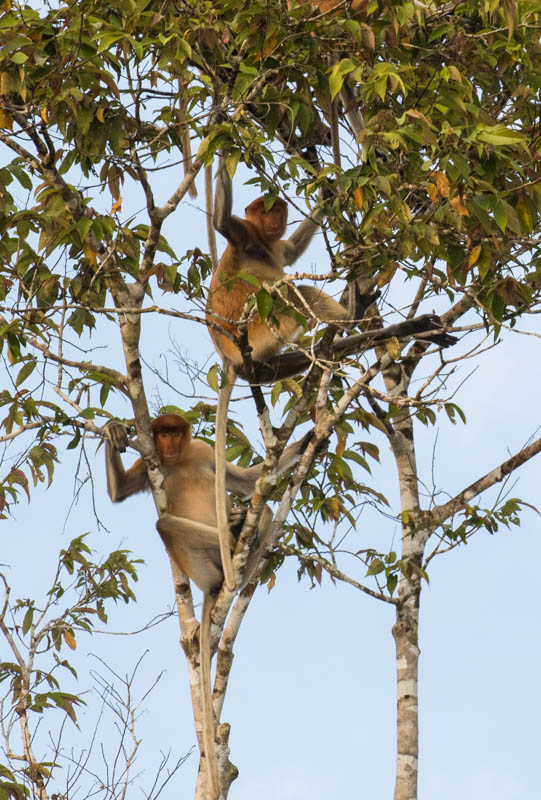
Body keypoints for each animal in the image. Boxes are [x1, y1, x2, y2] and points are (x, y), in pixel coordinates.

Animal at [105, 416, 310, 796]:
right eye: (161, 434)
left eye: (174, 433)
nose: (169, 444)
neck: (180, 460)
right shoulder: (151, 462)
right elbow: (120, 491)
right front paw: (113, 431)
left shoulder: (202, 449)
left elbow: (245, 482)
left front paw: (308, 440)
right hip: (201, 563)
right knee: (165, 524)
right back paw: (228, 544)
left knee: (263, 508)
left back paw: (240, 534)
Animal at [205, 158, 356, 592]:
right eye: (263, 209)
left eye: (277, 210)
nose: (274, 218)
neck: (261, 240)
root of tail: (229, 355)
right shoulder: (243, 235)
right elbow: (222, 221)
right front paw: (218, 142)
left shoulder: (274, 246)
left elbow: (290, 250)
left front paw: (329, 191)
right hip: (261, 326)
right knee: (290, 293)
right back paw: (356, 319)